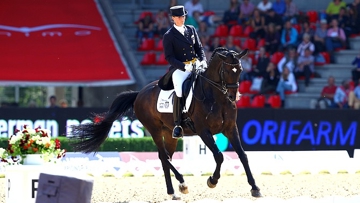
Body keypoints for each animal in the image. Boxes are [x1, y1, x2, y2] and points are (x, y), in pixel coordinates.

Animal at [70, 47, 262, 200]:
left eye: (240, 70)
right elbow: (219, 156)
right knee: (163, 156)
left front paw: (255, 188)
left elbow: (243, 156)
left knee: (166, 158)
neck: (216, 97)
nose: (233, 97)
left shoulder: (230, 129)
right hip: (154, 129)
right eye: (227, 71)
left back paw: (174, 191)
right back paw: (182, 184)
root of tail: (140, 93)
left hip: (170, 133)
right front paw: (212, 180)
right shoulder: (203, 131)